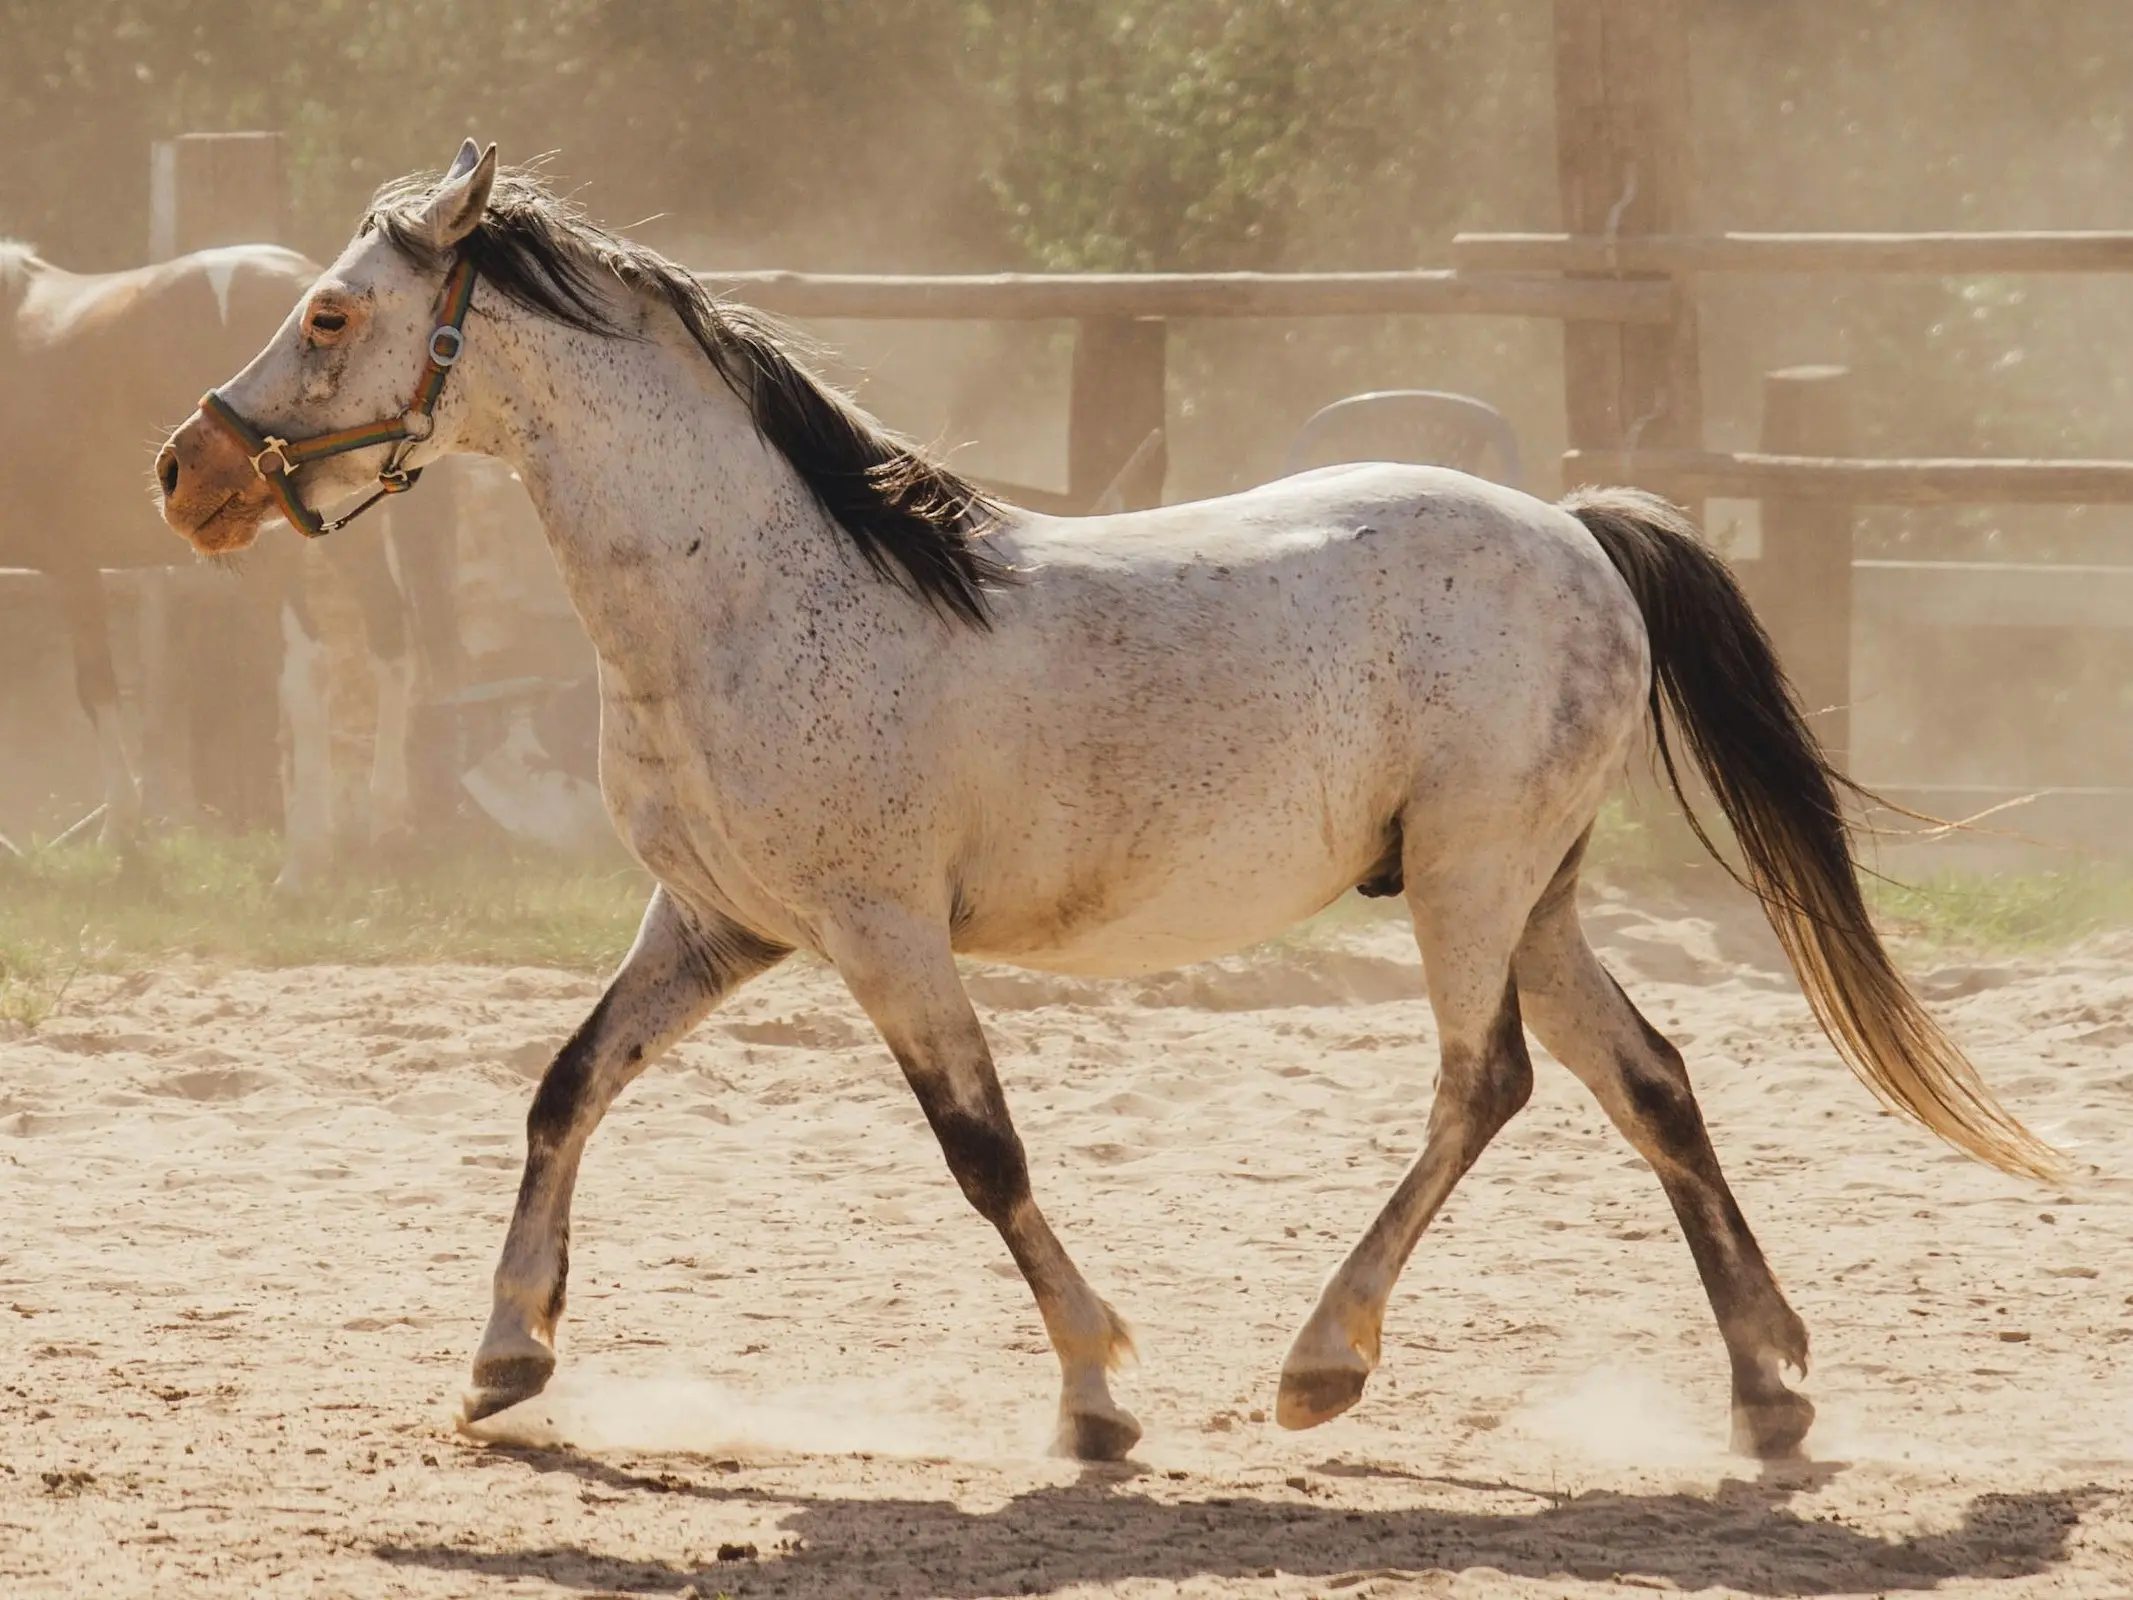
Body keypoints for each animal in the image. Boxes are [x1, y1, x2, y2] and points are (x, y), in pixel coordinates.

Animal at [157, 147, 2056, 1467]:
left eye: (330, 316)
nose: (186, 473)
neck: (750, 594)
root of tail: (1580, 529)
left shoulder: (878, 934)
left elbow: (982, 1152)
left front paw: (1094, 1400)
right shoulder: (717, 925)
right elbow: (565, 1088)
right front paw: (505, 1359)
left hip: (1469, 883)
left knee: (1488, 1083)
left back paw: (1320, 1367)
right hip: (1536, 893)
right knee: (1645, 1079)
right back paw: (1767, 1396)